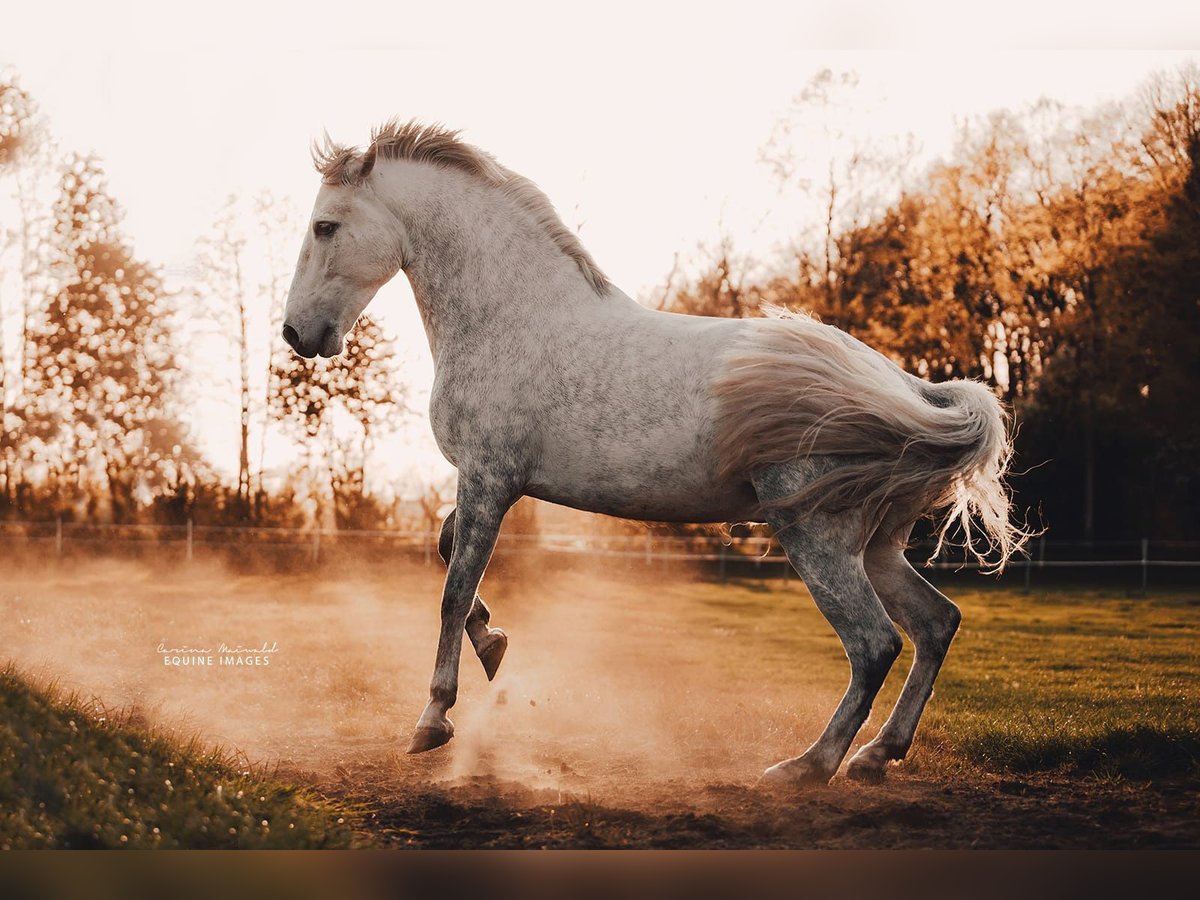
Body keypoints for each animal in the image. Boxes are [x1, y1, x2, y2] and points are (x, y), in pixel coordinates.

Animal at [280, 121, 1022, 787]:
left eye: (325, 226)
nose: (296, 334)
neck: (512, 319)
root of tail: (911, 391)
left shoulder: (488, 479)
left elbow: (451, 591)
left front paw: (433, 720)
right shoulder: (490, 483)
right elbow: (446, 553)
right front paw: (494, 646)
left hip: (819, 540)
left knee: (874, 644)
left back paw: (805, 767)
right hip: (878, 546)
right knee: (936, 625)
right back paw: (876, 757)